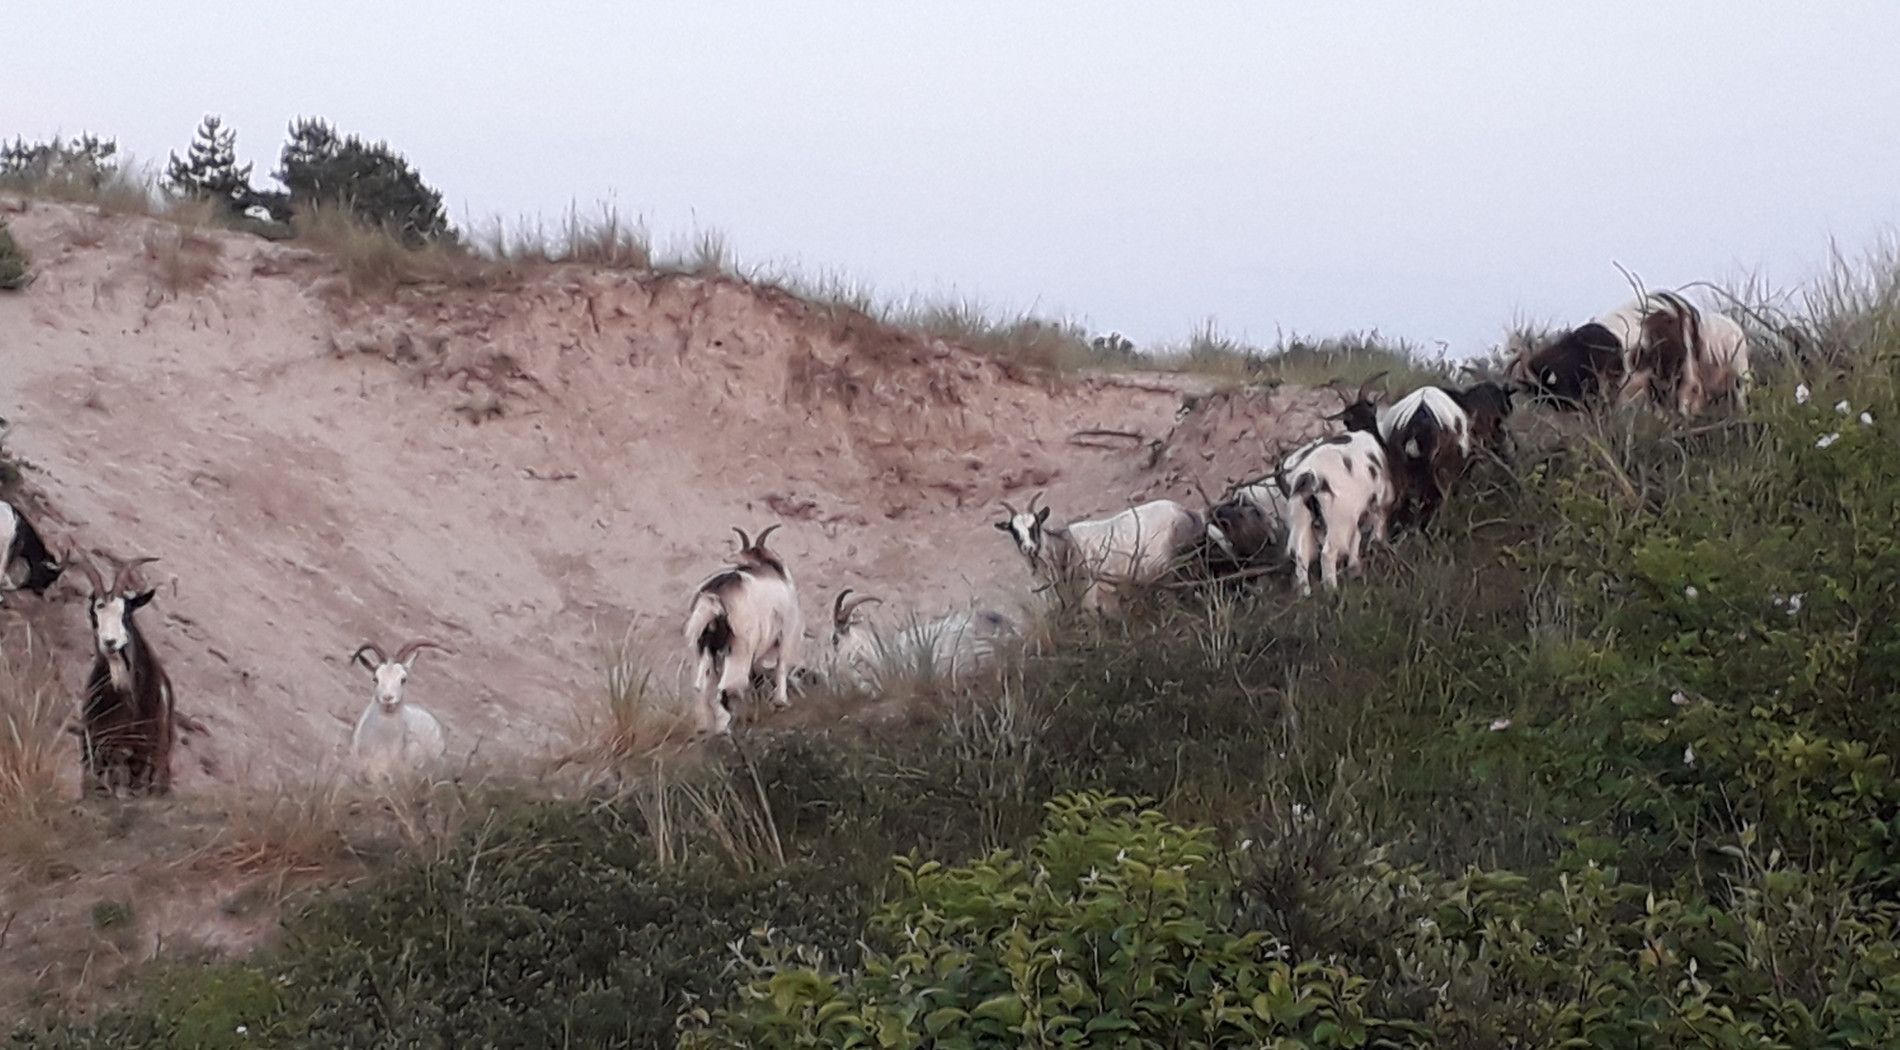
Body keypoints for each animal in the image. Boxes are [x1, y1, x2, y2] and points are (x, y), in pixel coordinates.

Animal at [684, 520, 801, 732]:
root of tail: (713, 598)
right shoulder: (786, 632)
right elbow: (781, 666)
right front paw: (781, 701)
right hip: (739, 648)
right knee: (724, 685)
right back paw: (724, 725)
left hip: (702, 647)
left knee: (702, 686)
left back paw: (704, 726)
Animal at [995, 493, 1200, 615]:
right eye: (1013, 530)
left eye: (1035, 525)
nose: (1028, 548)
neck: (1063, 546)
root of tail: (1185, 511)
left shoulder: (1091, 589)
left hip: (1171, 568)